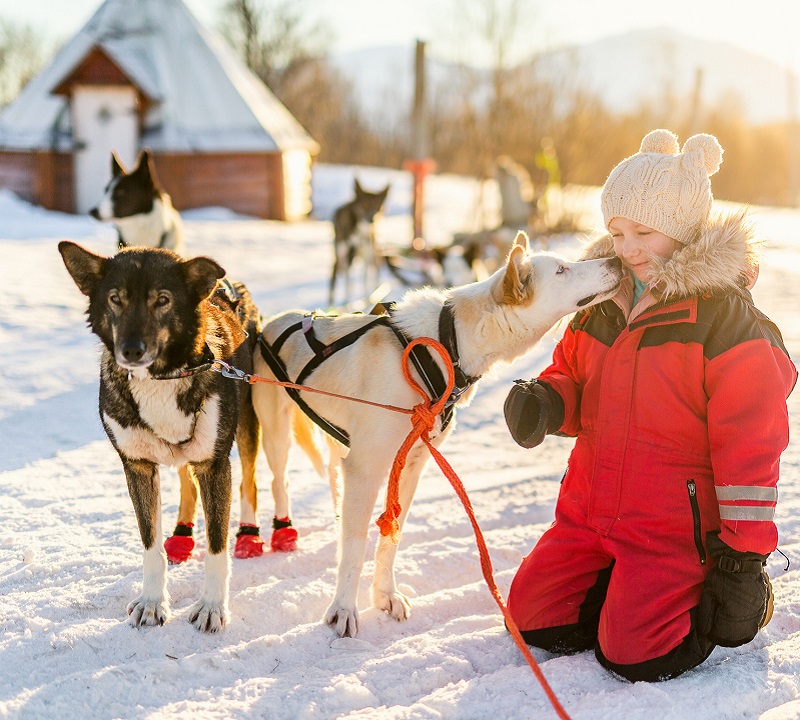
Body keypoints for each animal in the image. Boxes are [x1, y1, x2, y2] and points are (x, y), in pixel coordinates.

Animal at [59, 242, 260, 632]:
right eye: (115, 299)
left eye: (162, 300)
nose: (131, 350)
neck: (161, 378)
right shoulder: (137, 467)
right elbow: (150, 543)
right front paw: (153, 602)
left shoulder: (214, 465)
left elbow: (216, 547)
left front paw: (212, 606)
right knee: (187, 484)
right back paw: (181, 535)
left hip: (248, 425)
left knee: (251, 483)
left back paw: (249, 533)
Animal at [253, 231, 620, 636]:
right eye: (562, 269)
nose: (617, 260)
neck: (446, 344)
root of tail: (274, 320)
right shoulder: (367, 469)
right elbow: (355, 547)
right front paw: (344, 608)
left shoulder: (411, 465)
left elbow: (390, 535)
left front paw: (385, 594)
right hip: (278, 437)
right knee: (280, 482)